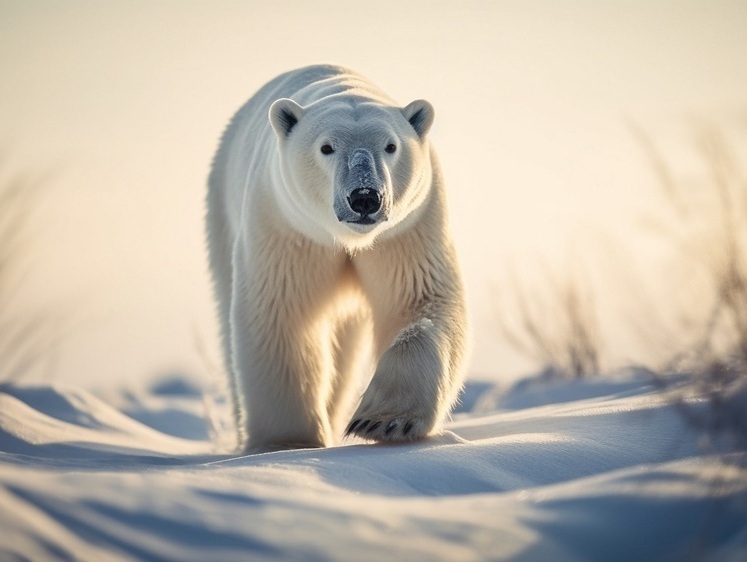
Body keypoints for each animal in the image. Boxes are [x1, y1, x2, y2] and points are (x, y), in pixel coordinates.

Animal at [206, 65, 468, 450]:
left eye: (391, 145)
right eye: (326, 147)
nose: (365, 197)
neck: (349, 241)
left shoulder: (407, 228)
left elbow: (419, 301)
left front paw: (384, 421)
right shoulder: (289, 227)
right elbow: (283, 316)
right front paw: (288, 441)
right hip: (223, 211)